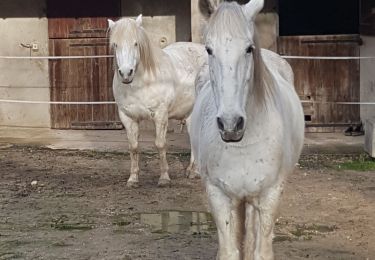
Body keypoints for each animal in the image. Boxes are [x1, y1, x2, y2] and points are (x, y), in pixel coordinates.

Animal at [108, 15, 207, 187]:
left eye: (136, 43)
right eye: (115, 44)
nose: (126, 73)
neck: (141, 84)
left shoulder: (160, 115)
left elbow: (160, 144)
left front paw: (164, 178)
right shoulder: (127, 117)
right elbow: (133, 147)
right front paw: (133, 179)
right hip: (191, 111)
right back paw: (193, 171)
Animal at [191, 1, 306, 258]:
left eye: (248, 49)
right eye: (209, 49)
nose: (230, 124)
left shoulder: (269, 195)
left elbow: (260, 250)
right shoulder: (219, 196)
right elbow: (230, 251)